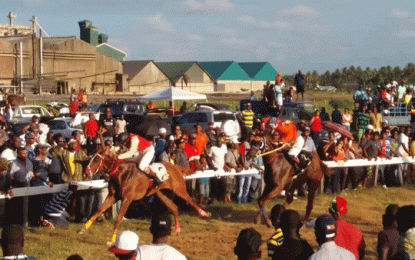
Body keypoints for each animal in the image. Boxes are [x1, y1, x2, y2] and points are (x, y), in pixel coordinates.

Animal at [78, 148, 211, 244]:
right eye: (90, 158)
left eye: (96, 160)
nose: (85, 172)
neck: (121, 173)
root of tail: (175, 166)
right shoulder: (112, 197)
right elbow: (98, 210)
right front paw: (83, 228)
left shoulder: (127, 199)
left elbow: (118, 219)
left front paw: (111, 240)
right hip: (160, 193)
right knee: (174, 207)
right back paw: (178, 228)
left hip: (179, 189)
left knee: (191, 201)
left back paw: (204, 213)